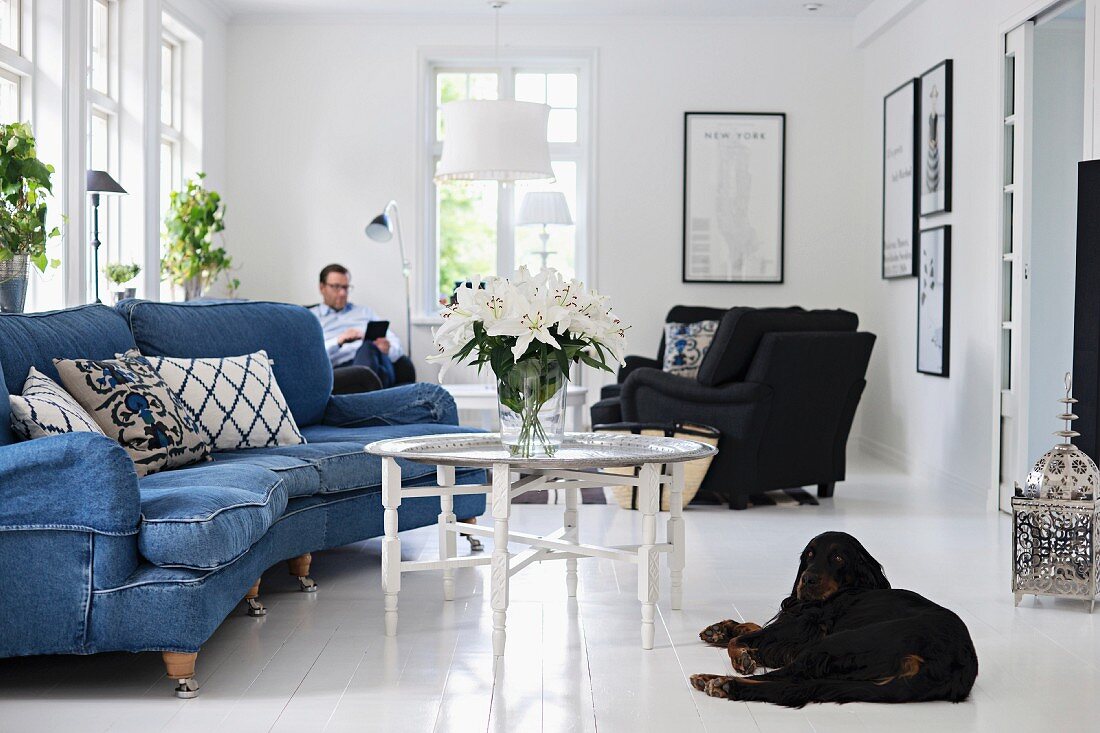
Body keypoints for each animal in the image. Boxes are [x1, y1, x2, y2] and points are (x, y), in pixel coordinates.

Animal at [690, 528, 976, 704]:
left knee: (788, 679)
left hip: (836, 643)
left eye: (838, 557)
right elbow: (751, 627)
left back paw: (720, 682)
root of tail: (956, 664)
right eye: (809, 555)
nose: (807, 580)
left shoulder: (802, 628)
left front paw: (741, 655)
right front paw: (719, 629)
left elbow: (743, 640)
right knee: (796, 684)